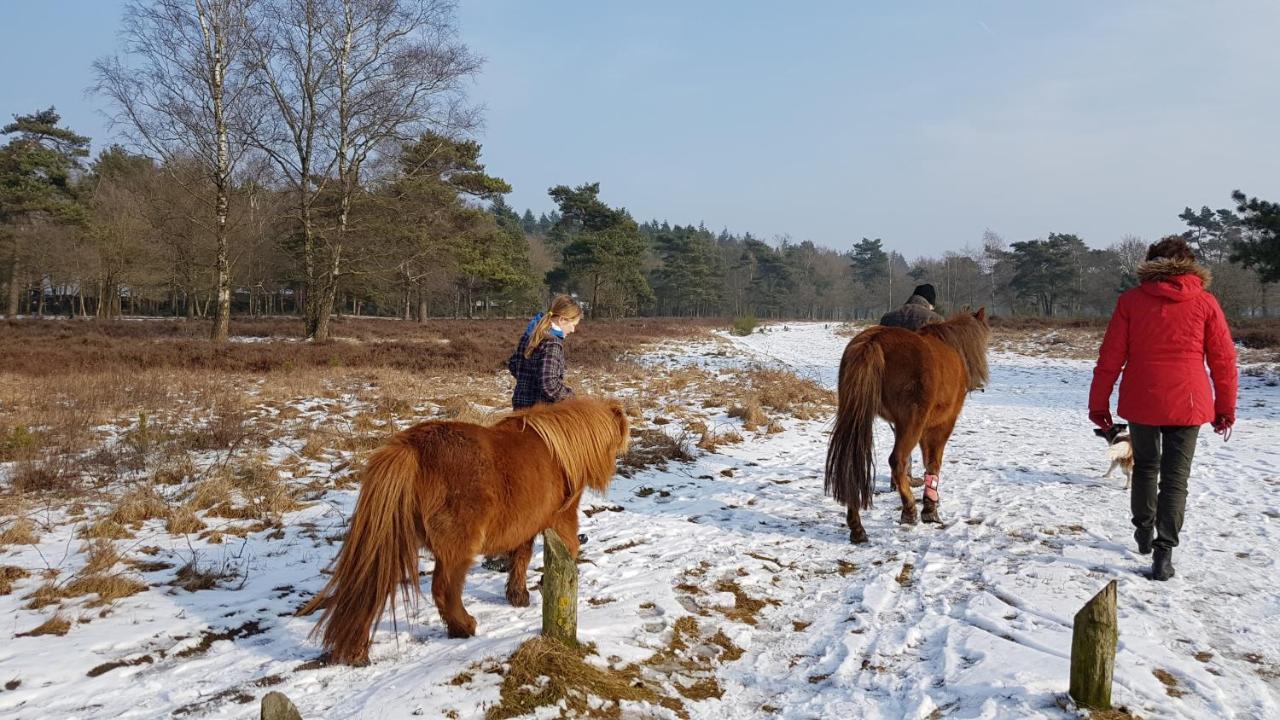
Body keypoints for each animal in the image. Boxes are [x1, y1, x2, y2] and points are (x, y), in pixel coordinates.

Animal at [305, 394, 634, 666]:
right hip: (456, 548)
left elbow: (522, 555)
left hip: (393, 541)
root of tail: (411, 449)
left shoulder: (525, 524)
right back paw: (464, 626)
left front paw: (518, 595)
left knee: (369, 591)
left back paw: (355, 652)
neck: (557, 451)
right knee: (444, 589)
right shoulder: (561, 517)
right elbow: (566, 547)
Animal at [824, 304, 993, 540]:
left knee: (852, 465)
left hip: (858, 417)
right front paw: (930, 508)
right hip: (912, 422)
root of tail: (875, 340)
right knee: (897, 461)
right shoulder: (940, 425)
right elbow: (933, 463)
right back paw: (909, 509)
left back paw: (857, 527)